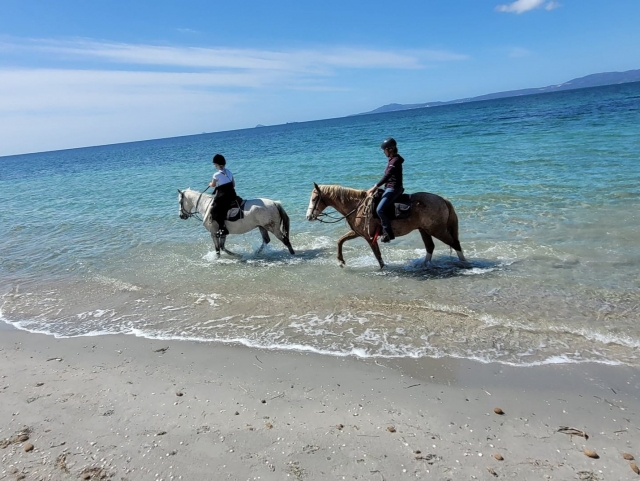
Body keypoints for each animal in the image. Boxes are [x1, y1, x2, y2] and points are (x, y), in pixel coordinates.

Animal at [306, 183, 466, 269]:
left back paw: (464, 264)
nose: (308, 216)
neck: (357, 207)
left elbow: (377, 255)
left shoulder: (369, 237)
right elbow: (340, 241)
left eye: (314, 199)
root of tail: (442, 200)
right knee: (430, 247)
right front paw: (340, 261)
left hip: (437, 230)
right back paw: (423, 265)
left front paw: (383, 268)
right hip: (424, 230)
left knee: (455, 243)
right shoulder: (358, 233)